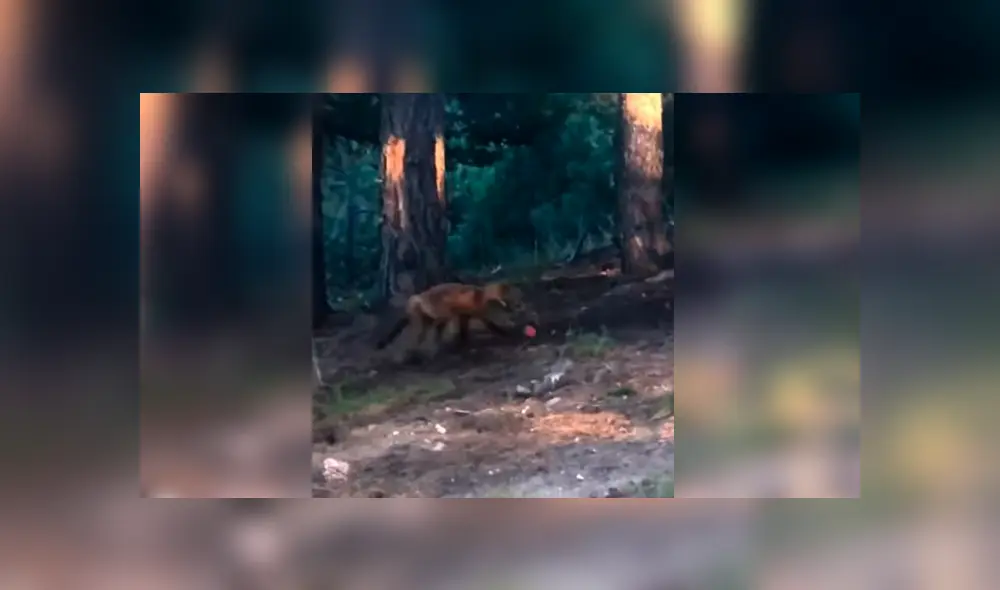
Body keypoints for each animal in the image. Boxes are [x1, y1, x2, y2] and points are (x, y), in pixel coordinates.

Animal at [375, 282, 537, 356]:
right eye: (519, 299)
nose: (525, 304)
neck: (482, 297)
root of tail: (420, 296)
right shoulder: (482, 315)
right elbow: (497, 327)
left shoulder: (467, 316)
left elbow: (467, 332)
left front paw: (463, 344)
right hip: (442, 316)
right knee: (432, 330)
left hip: (433, 319)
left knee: (425, 334)